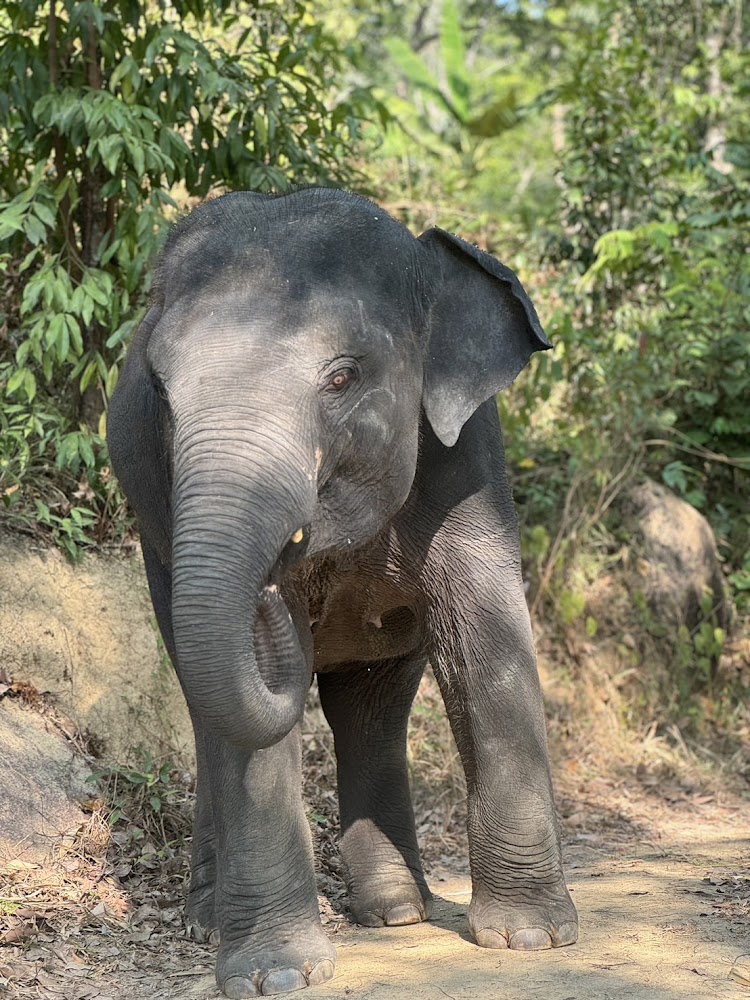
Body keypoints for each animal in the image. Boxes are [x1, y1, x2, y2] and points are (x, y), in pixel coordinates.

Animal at [107, 188, 578, 999]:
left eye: (341, 377)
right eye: (159, 389)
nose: (266, 595)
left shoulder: (469, 462)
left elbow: (487, 638)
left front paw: (533, 938)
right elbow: (246, 725)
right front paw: (276, 974)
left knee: (371, 710)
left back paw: (396, 913)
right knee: (213, 711)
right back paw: (210, 922)